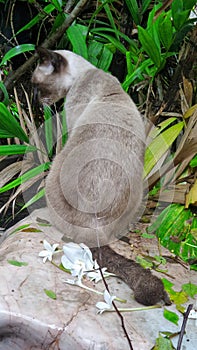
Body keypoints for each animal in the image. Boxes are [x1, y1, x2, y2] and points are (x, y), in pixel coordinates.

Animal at [31, 47, 170, 304]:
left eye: (37, 85)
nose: (36, 100)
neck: (86, 72)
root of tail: (94, 224)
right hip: (140, 193)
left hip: (54, 172)